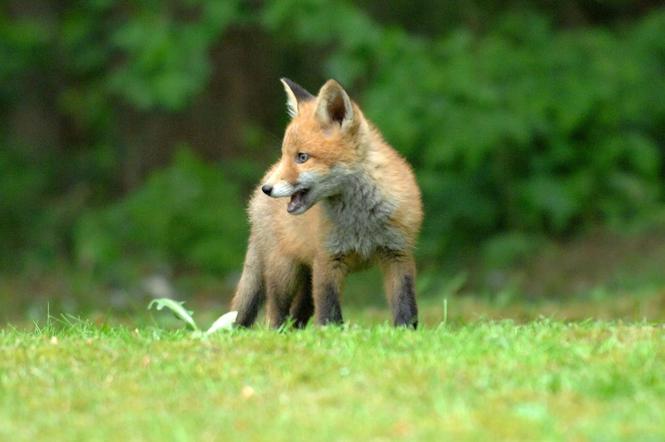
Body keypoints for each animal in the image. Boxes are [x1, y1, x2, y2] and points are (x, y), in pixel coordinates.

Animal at [231, 78, 422, 328]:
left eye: (302, 157)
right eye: (285, 155)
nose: (267, 189)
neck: (360, 220)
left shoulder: (398, 253)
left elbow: (405, 305)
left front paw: (406, 332)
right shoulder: (327, 258)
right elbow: (329, 310)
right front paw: (331, 334)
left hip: (305, 280)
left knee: (296, 315)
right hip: (285, 271)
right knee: (275, 313)